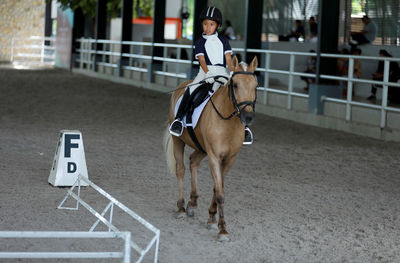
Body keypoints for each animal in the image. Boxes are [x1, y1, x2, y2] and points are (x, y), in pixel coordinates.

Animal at [164, 56, 258, 242]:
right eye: (235, 85)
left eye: (255, 85)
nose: (248, 117)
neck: (228, 122)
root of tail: (183, 84)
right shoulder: (214, 156)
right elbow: (220, 192)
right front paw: (222, 230)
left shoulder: (229, 159)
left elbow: (218, 187)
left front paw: (212, 218)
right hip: (178, 140)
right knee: (181, 170)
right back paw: (181, 208)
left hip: (201, 148)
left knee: (193, 162)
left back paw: (192, 203)